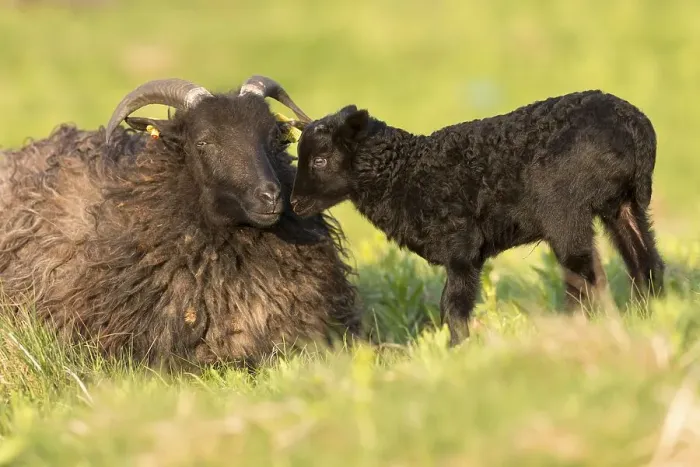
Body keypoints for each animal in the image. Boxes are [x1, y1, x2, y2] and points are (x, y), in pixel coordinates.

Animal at [289, 90, 665, 344]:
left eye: (320, 160)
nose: (293, 204)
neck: (405, 173)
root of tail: (637, 129)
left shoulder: (462, 244)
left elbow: (452, 305)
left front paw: (457, 347)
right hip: (623, 205)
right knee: (645, 260)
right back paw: (653, 313)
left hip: (565, 208)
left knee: (583, 273)